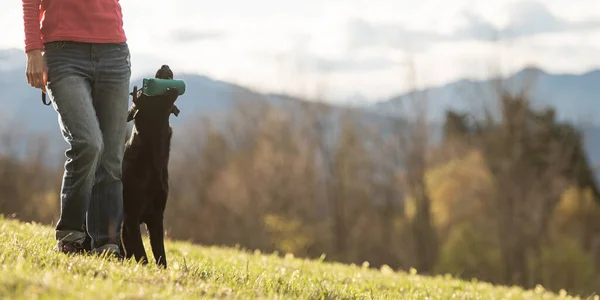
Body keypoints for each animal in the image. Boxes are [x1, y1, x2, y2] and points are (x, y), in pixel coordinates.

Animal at [120, 64, 180, 268]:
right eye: (142, 91)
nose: (165, 65)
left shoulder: (156, 217)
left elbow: (160, 253)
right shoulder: (130, 216)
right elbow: (142, 254)